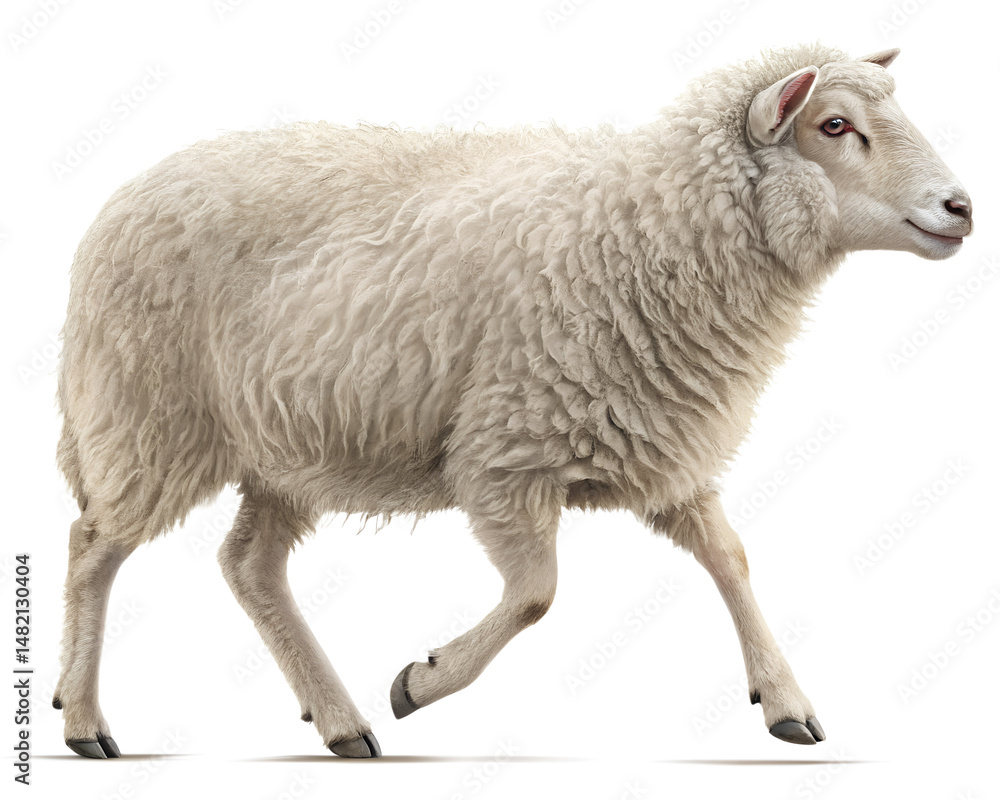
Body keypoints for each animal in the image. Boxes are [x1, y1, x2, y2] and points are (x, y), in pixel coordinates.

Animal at [53, 42, 972, 759]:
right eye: (834, 126)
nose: (961, 206)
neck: (651, 227)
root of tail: (116, 206)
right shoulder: (506, 448)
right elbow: (537, 593)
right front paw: (422, 682)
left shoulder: (658, 437)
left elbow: (730, 558)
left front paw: (785, 702)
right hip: (151, 415)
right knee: (93, 546)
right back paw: (84, 720)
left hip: (286, 442)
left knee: (248, 565)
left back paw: (340, 723)